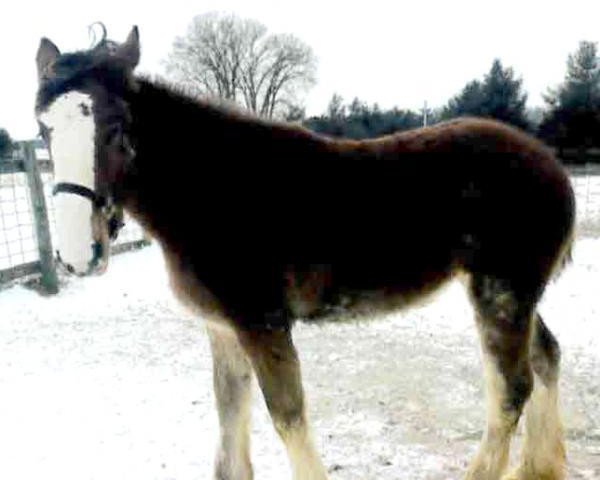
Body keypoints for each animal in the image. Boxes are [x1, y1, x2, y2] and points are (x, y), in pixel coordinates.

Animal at [34, 27, 576, 480]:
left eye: (117, 126)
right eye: (43, 129)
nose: (78, 254)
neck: (217, 191)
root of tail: (554, 167)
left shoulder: (263, 323)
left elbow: (288, 415)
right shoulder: (222, 329)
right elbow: (230, 425)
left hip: (500, 293)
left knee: (511, 389)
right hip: (513, 295)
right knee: (545, 356)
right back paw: (540, 467)